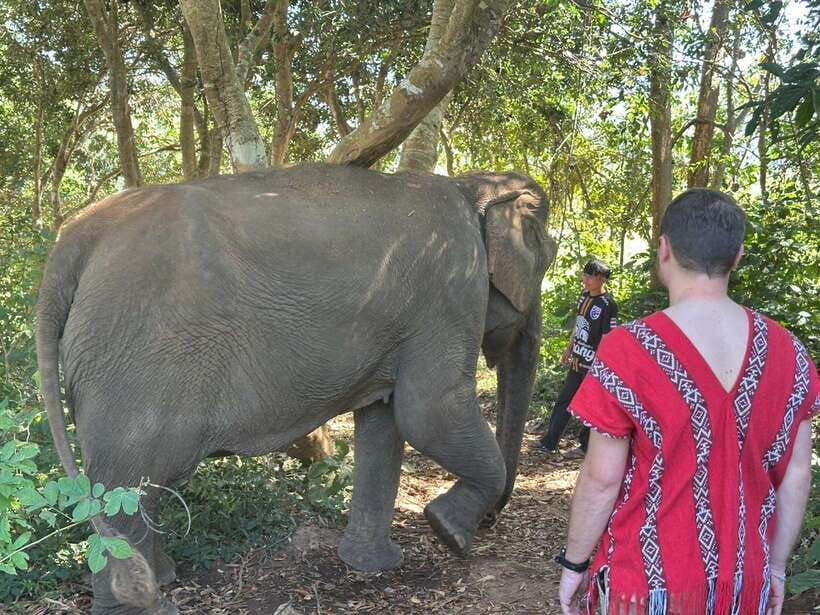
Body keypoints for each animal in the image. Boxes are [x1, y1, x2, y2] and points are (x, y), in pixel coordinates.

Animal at [36, 163, 556, 614]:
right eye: (546, 263)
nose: (491, 521)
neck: (473, 185)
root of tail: (71, 242)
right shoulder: (449, 292)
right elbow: (429, 412)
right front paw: (448, 532)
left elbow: (385, 423)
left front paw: (375, 566)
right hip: (135, 363)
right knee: (127, 482)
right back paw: (149, 603)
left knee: (143, 486)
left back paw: (162, 579)